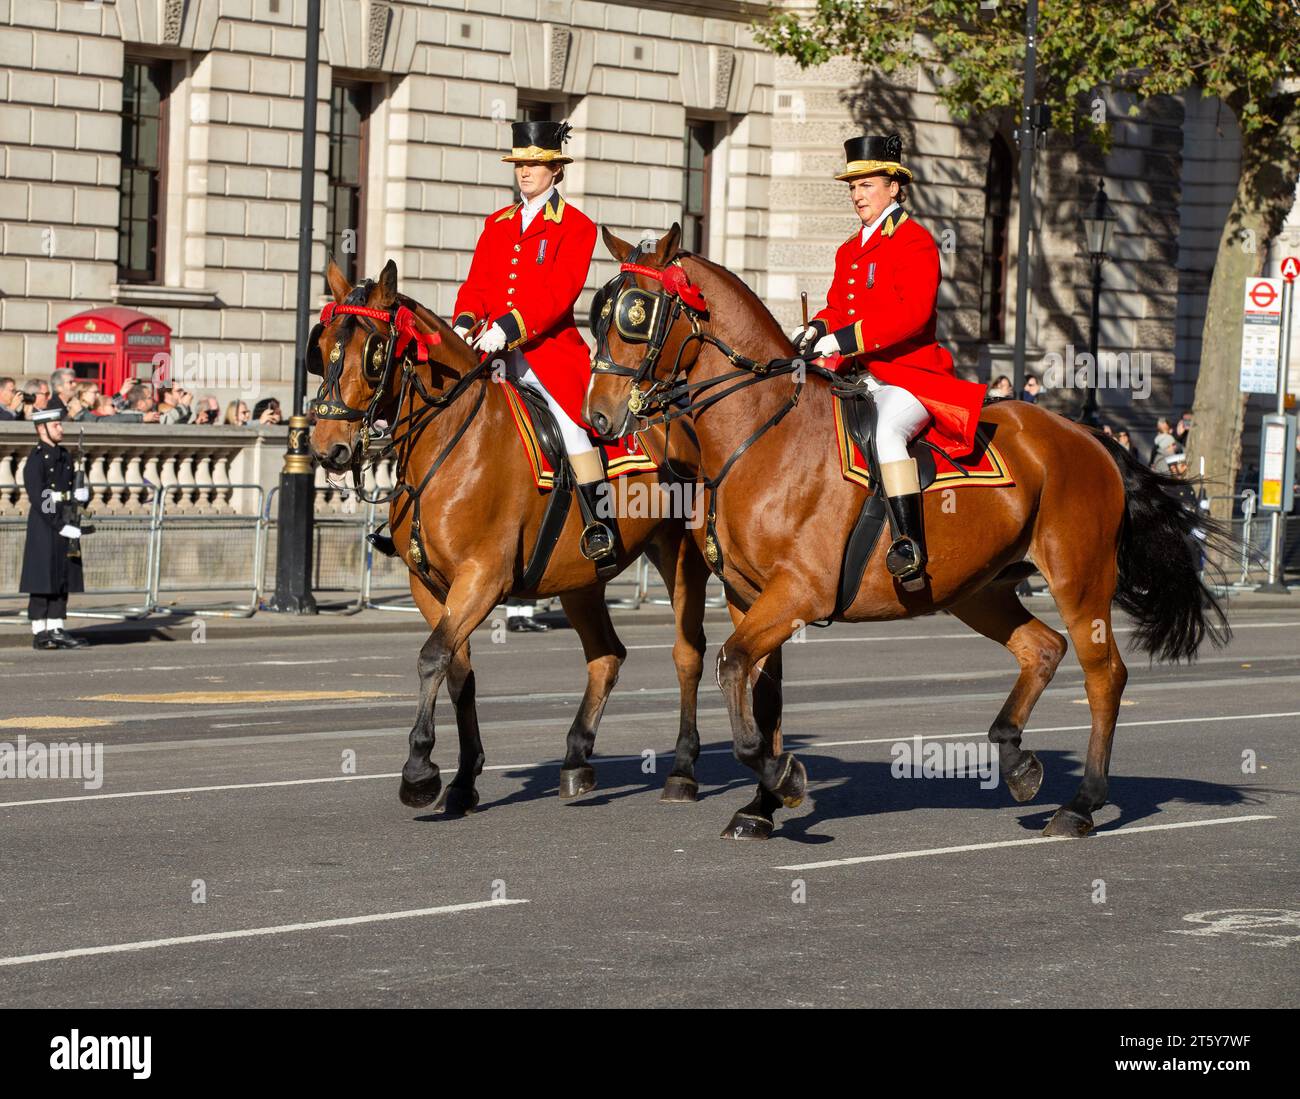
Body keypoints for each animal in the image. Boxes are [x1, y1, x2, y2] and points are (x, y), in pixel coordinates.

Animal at [306, 254, 712, 806]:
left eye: (373, 353)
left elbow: (433, 657)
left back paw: (686, 768)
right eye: (322, 344)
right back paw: (576, 759)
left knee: (689, 651)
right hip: (579, 577)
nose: (327, 447)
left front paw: (419, 771)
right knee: (606, 656)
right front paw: (462, 777)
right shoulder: (429, 585)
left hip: (679, 554)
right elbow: (457, 669)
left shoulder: (483, 577)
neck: (451, 440)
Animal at [585, 222, 1222, 842]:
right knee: (1042, 649)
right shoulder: (750, 597)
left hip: (1079, 581)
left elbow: (733, 666)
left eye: (637, 314)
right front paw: (762, 804)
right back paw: (1014, 758)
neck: (765, 432)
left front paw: (782, 779)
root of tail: (1087, 434)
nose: (598, 418)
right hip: (979, 589)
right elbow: (762, 694)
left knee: (1104, 676)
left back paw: (1082, 803)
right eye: (600, 312)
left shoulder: (797, 594)